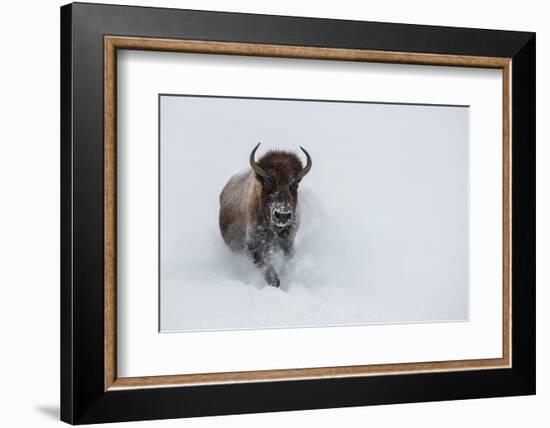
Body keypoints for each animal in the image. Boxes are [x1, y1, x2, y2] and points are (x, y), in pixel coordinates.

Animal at [220, 144, 314, 288]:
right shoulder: (254, 247)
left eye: (294, 184)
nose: (282, 215)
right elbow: (269, 271)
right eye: (269, 182)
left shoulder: (288, 242)